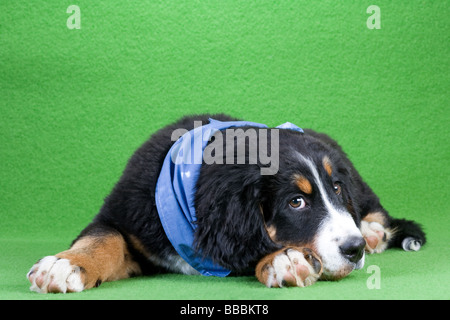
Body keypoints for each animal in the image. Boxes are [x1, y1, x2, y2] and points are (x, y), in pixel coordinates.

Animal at [26, 113, 428, 292]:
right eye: (296, 202)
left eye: (337, 189)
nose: (353, 249)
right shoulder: (126, 214)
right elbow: (101, 239)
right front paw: (66, 265)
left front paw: (284, 260)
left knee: (376, 209)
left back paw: (374, 232)